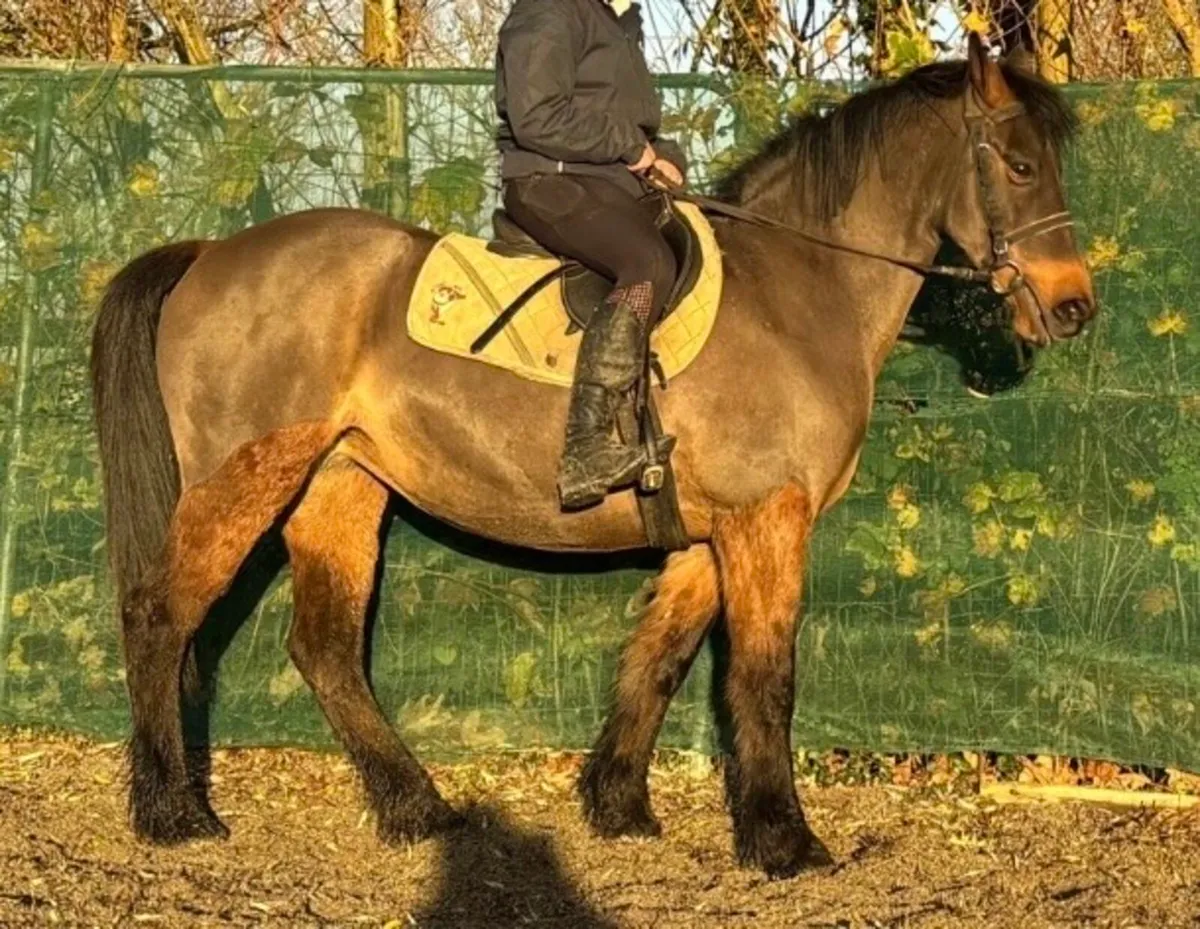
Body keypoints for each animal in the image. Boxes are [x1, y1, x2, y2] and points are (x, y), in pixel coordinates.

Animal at [89, 37, 1095, 879]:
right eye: (1018, 164)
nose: (1073, 305)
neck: (799, 290)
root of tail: (212, 253)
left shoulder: (709, 533)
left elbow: (658, 658)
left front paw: (618, 805)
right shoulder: (766, 518)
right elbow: (765, 676)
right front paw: (784, 840)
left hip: (341, 483)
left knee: (325, 647)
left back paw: (417, 808)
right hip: (241, 477)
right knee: (159, 615)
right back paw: (174, 813)